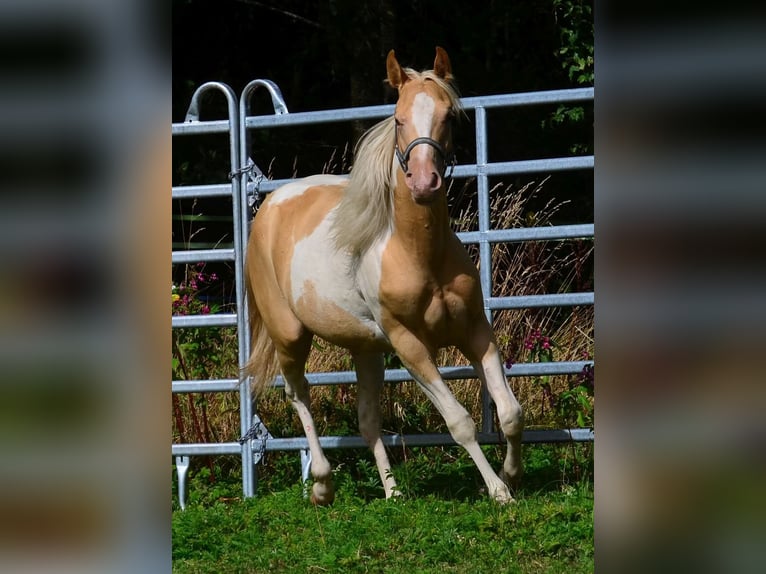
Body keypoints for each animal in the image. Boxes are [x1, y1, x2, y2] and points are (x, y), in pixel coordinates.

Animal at [244, 47, 523, 505]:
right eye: (398, 118)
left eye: (449, 115)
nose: (424, 183)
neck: (418, 253)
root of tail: (270, 206)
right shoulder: (410, 345)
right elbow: (459, 422)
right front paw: (499, 491)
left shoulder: (475, 331)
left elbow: (511, 412)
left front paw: (511, 474)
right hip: (289, 335)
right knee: (298, 393)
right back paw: (322, 485)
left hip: (366, 349)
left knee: (367, 419)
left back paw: (393, 492)